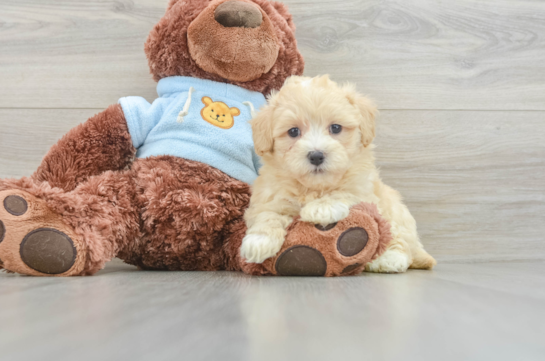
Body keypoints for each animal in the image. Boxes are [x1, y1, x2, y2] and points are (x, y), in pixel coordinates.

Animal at [240, 76, 436, 272]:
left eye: (335, 128)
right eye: (293, 131)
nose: (316, 156)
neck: (315, 187)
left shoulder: (363, 188)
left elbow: (345, 191)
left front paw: (321, 208)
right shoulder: (272, 194)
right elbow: (268, 212)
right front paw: (258, 241)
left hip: (395, 214)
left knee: (399, 239)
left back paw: (389, 258)